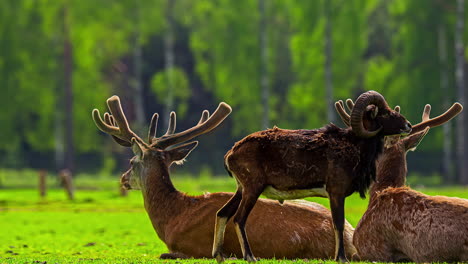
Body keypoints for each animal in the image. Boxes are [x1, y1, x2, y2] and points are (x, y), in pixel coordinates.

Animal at [94, 95, 358, 260]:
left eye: (132, 162)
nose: (123, 179)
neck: (173, 217)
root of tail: (351, 238)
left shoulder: (191, 247)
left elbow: (165, 253)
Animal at [214, 91, 412, 262]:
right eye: (386, 113)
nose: (408, 125)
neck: (353, 146)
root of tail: (231, 153)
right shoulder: (336, 193)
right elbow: (338, 223)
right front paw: (341, 258)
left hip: (241, 190)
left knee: (222, 213)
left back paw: (219, 256)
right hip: (252, 190)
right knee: (239, 218)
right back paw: (250, 257)